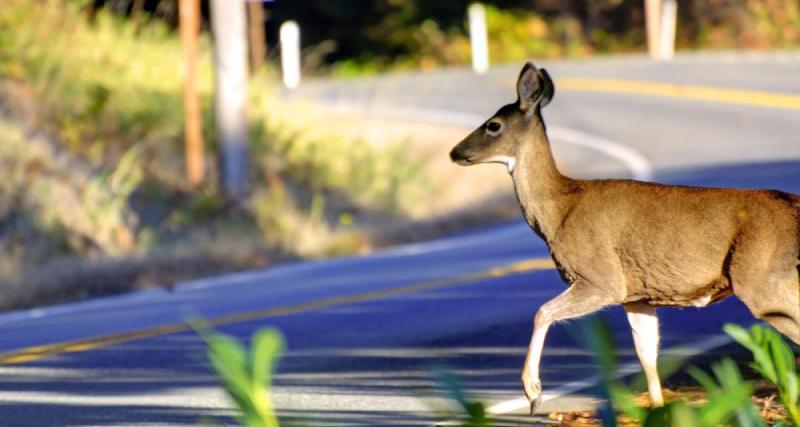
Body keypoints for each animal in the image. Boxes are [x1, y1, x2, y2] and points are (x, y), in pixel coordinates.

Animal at [450, 62, 800, 414]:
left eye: (493, 125)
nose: (455, 152)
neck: (559, 210)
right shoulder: (638, 295)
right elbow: (646, 354)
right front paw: (657, 409)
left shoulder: (601, 277)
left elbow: (542, 312)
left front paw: (533, 393)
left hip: (762, 280)